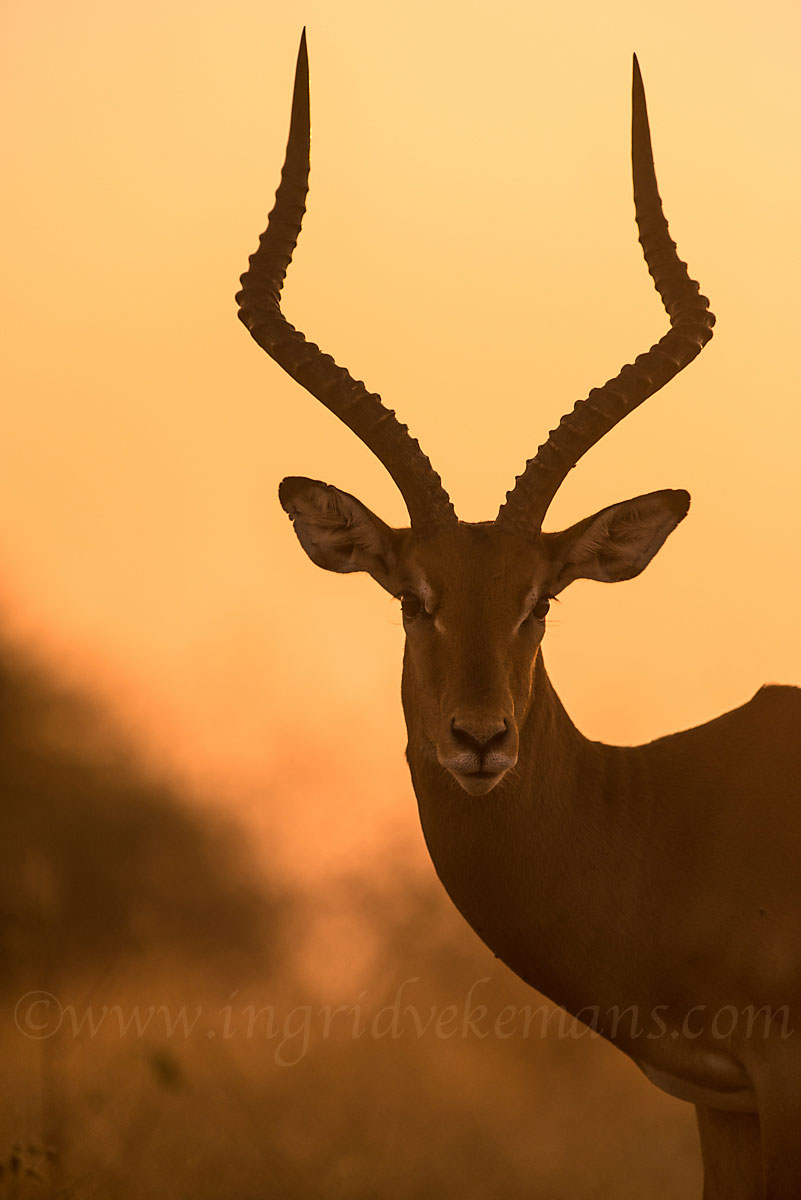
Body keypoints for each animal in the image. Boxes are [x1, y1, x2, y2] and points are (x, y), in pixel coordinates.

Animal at [237, 32, 801, 1198]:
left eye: (541, 600)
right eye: (413, 598)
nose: (479, 740)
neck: (666, 820)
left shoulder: (785, 1075)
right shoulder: (722, 1099)